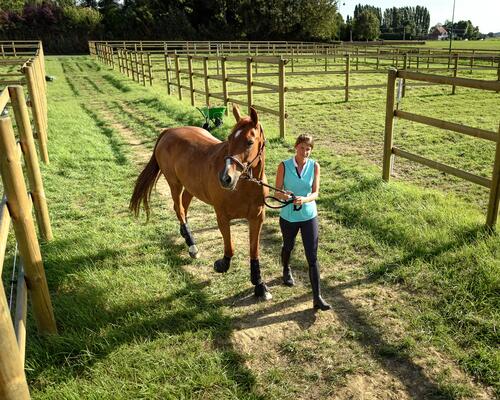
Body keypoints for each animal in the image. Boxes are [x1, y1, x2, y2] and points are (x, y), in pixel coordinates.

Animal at [129, 104, 270, 298]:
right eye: (229, 139)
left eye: (249, 142)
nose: (226, 178)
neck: (244, 186)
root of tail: (169, 131)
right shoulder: (222, 216)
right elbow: (229, 247)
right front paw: (222, 264)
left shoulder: (257, 218)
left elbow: (254, 251)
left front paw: (259, 284)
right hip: (174, 183)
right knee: (179, 209)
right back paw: (192, 245)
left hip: (190, 186)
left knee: (184, 206)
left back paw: (185, 234)